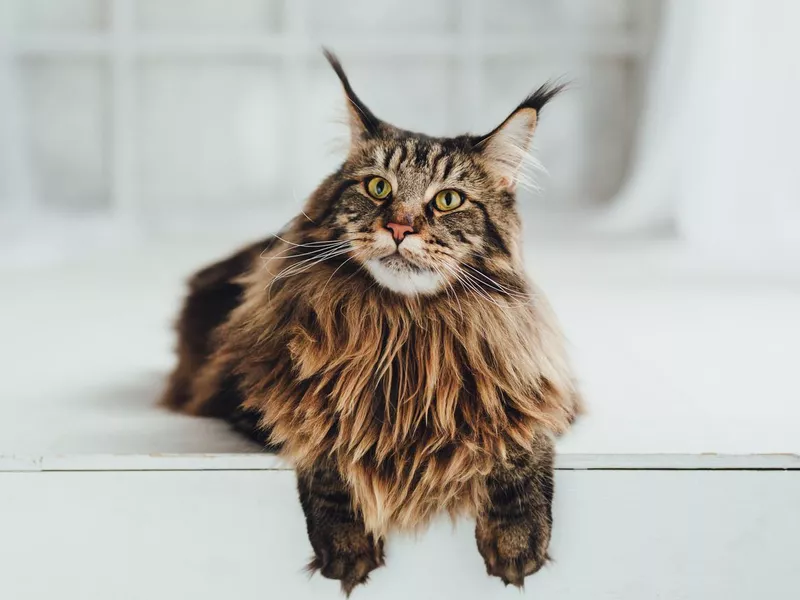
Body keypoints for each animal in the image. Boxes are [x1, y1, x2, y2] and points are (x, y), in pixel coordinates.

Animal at [161, 49, 580, 592]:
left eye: (448, 199)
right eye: (378, 187)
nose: (399, 227)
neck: (405, 330)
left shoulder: (543, 391)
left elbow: (519, 441)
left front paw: (516, 537)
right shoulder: (264, 396)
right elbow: (330, 442)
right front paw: (346, 545)